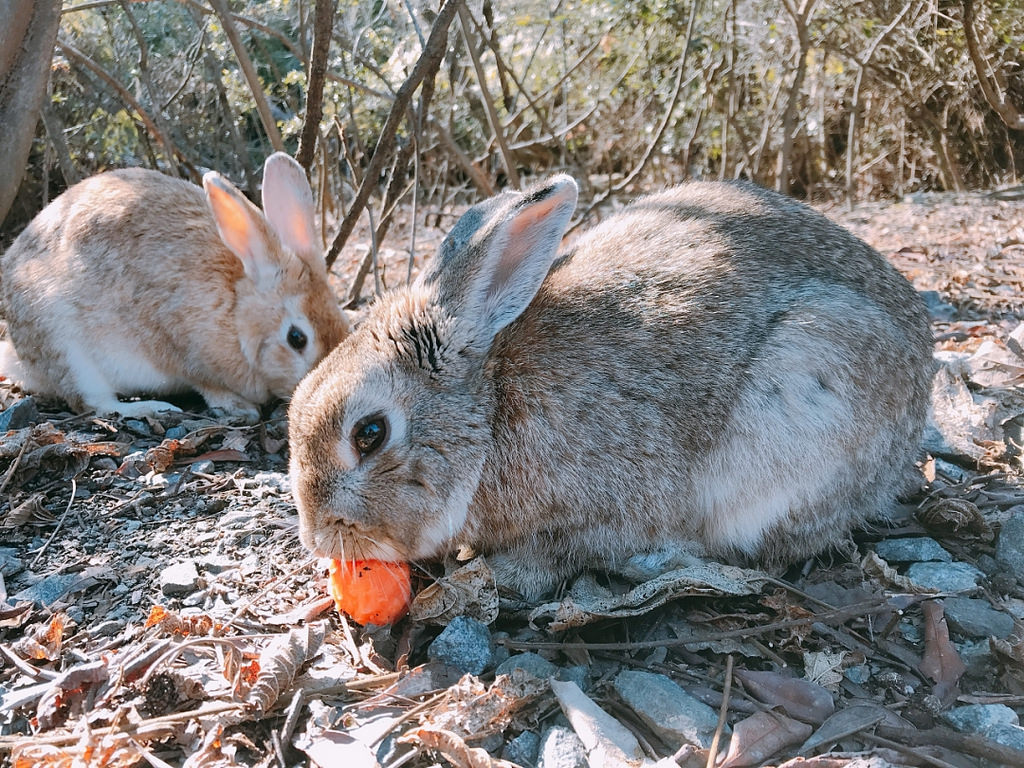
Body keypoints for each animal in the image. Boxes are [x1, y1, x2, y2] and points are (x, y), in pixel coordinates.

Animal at [0, 153, 348, 423]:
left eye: (345, 323)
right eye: (296, 338)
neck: (235, 313)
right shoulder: (180, 348)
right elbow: (206, 383)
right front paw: (239, 407)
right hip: (67, 349)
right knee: (92, 402)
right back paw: (151, 409)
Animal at [284, 176, 933, 602]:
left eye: (369, 433)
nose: (318, 537)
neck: (492, 409)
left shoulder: (606, 511)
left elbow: (567, 552)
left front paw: (503, 574)